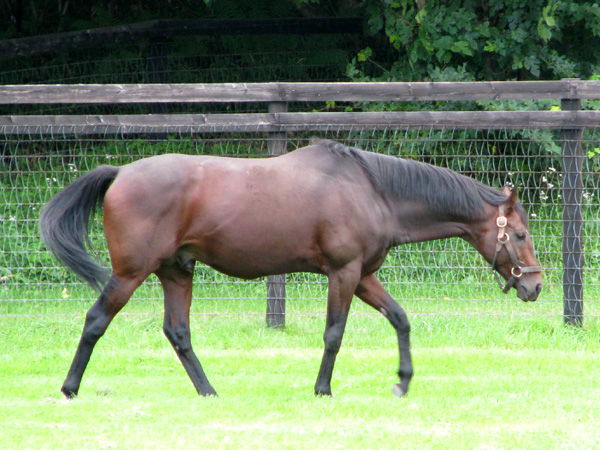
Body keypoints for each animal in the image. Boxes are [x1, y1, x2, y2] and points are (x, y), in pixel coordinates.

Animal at [38, 140, 544, 398]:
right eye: (520, 234)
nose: (536, 285)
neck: (373, 190)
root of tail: (120, 172)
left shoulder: (363, 275)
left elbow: (400, 318)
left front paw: (403, 382)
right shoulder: (343, 273)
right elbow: (334, 334)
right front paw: (322, 389)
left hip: (177, 271)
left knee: (178, 333)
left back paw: (209, 391)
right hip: (130, 273)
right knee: (95, 320)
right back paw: (69, 387)